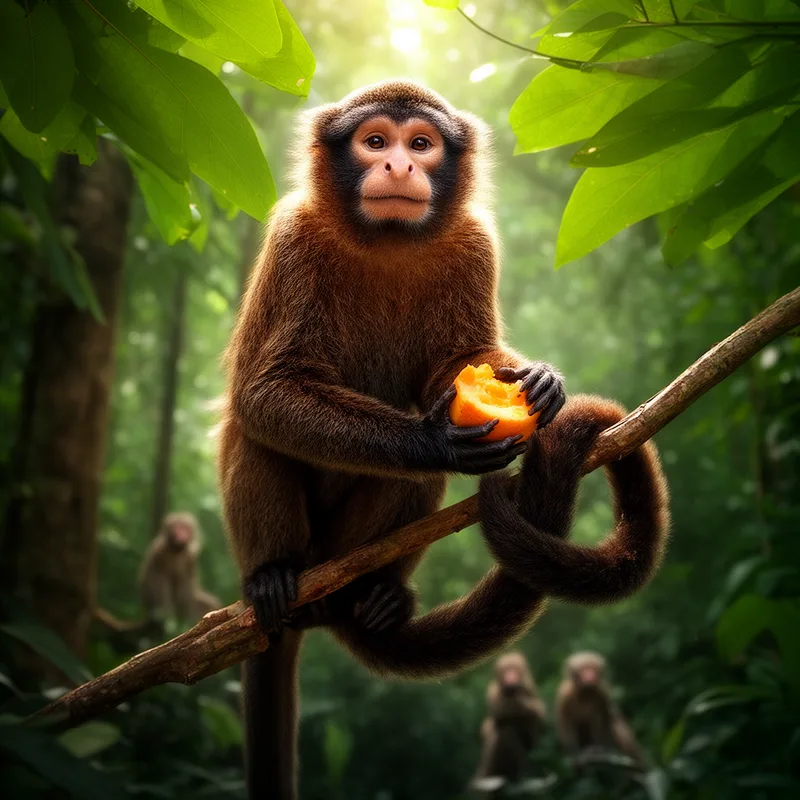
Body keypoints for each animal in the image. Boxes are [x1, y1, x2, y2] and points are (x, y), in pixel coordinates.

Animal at [472, 652, 547, 795]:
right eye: (506, 670)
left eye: (514, 669)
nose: (510, 676)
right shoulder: (493, 693)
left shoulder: (529, 689)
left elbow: (535, 716)